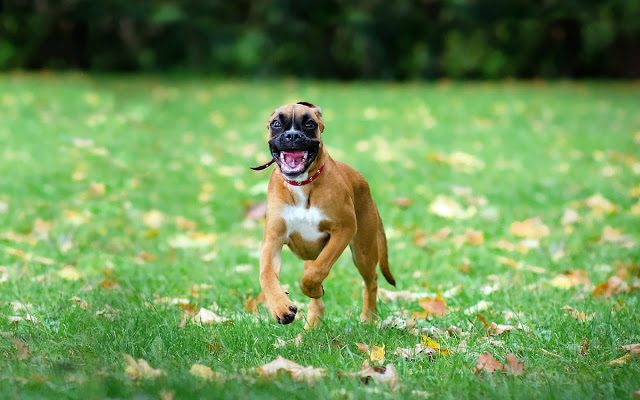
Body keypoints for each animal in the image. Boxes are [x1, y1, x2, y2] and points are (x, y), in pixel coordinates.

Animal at [251, 101, 396, 328]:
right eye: (276, 123)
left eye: (309, 124)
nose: (292, 135)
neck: (302, 184)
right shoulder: (273, 240)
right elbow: (266, 274)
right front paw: (280, 307)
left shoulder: (343, 229)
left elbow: (316, 272)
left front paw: (313, 288)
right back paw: (312, 324)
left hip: (363, 250)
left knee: (370, 281)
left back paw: (368, 318)